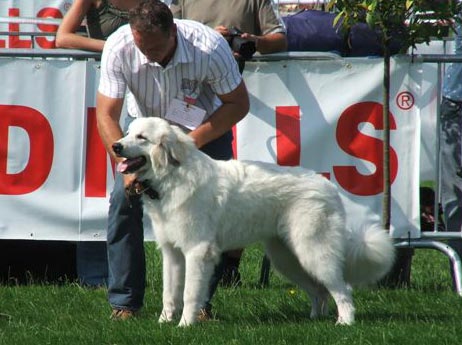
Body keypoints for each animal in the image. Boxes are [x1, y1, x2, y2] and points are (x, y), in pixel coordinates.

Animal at [112, 117, 394, 326]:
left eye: (142, 138)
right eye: (127, 133)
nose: (115, 146)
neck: (172, 175)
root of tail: (327, 186)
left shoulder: (197, 251)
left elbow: (190, 294)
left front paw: (185, 326)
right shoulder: (171, 253)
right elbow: (169, 293)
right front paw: (163, 323)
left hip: (313, 253)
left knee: (343, 290)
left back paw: (344, 323)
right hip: (288, 259)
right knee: (320, 291)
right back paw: (315, 319)